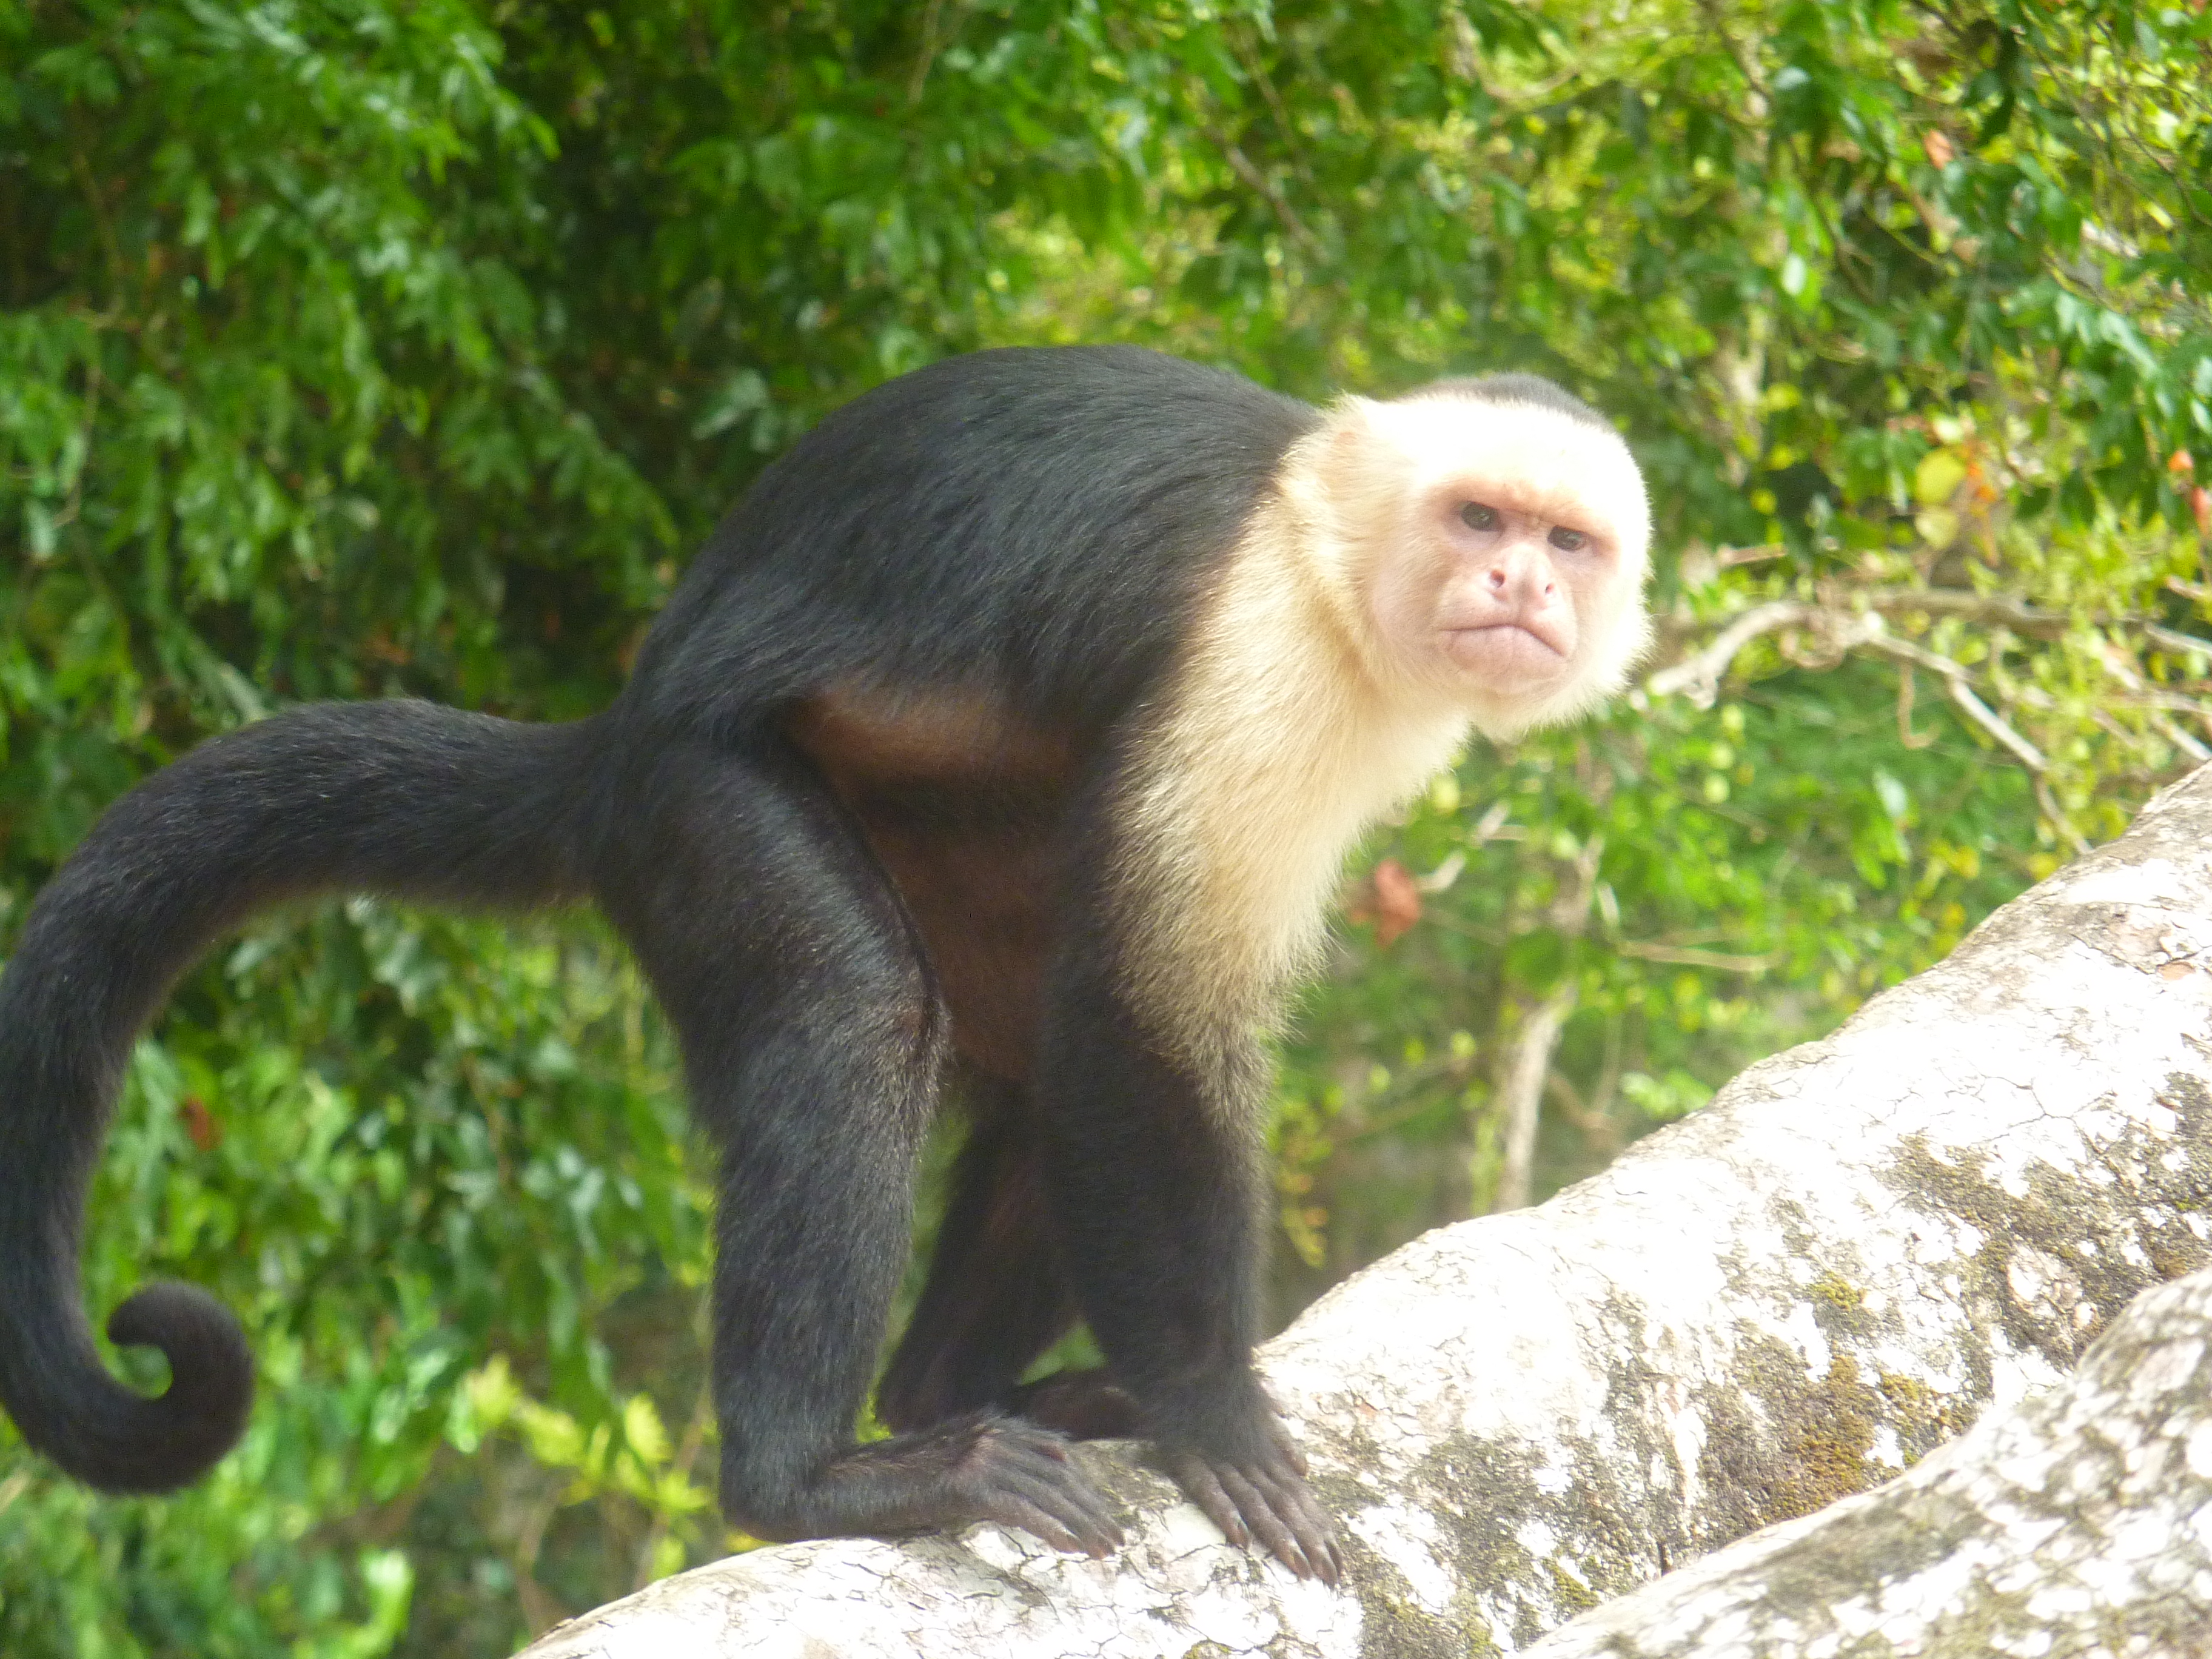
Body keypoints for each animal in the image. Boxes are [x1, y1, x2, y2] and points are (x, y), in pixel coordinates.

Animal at [0, 345, 1651, 1583]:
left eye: (1566, 542)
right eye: (1479, 518)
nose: (1523, 589)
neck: (1330, 563)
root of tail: (615, 737)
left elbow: (1108, 1029)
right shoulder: (1260, 653)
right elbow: (1142, 1016)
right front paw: (1213, 1414)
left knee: (1031, 1046)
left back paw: (945, 1400)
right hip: (698, 803)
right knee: (867, 1015)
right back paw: (813, 1477)